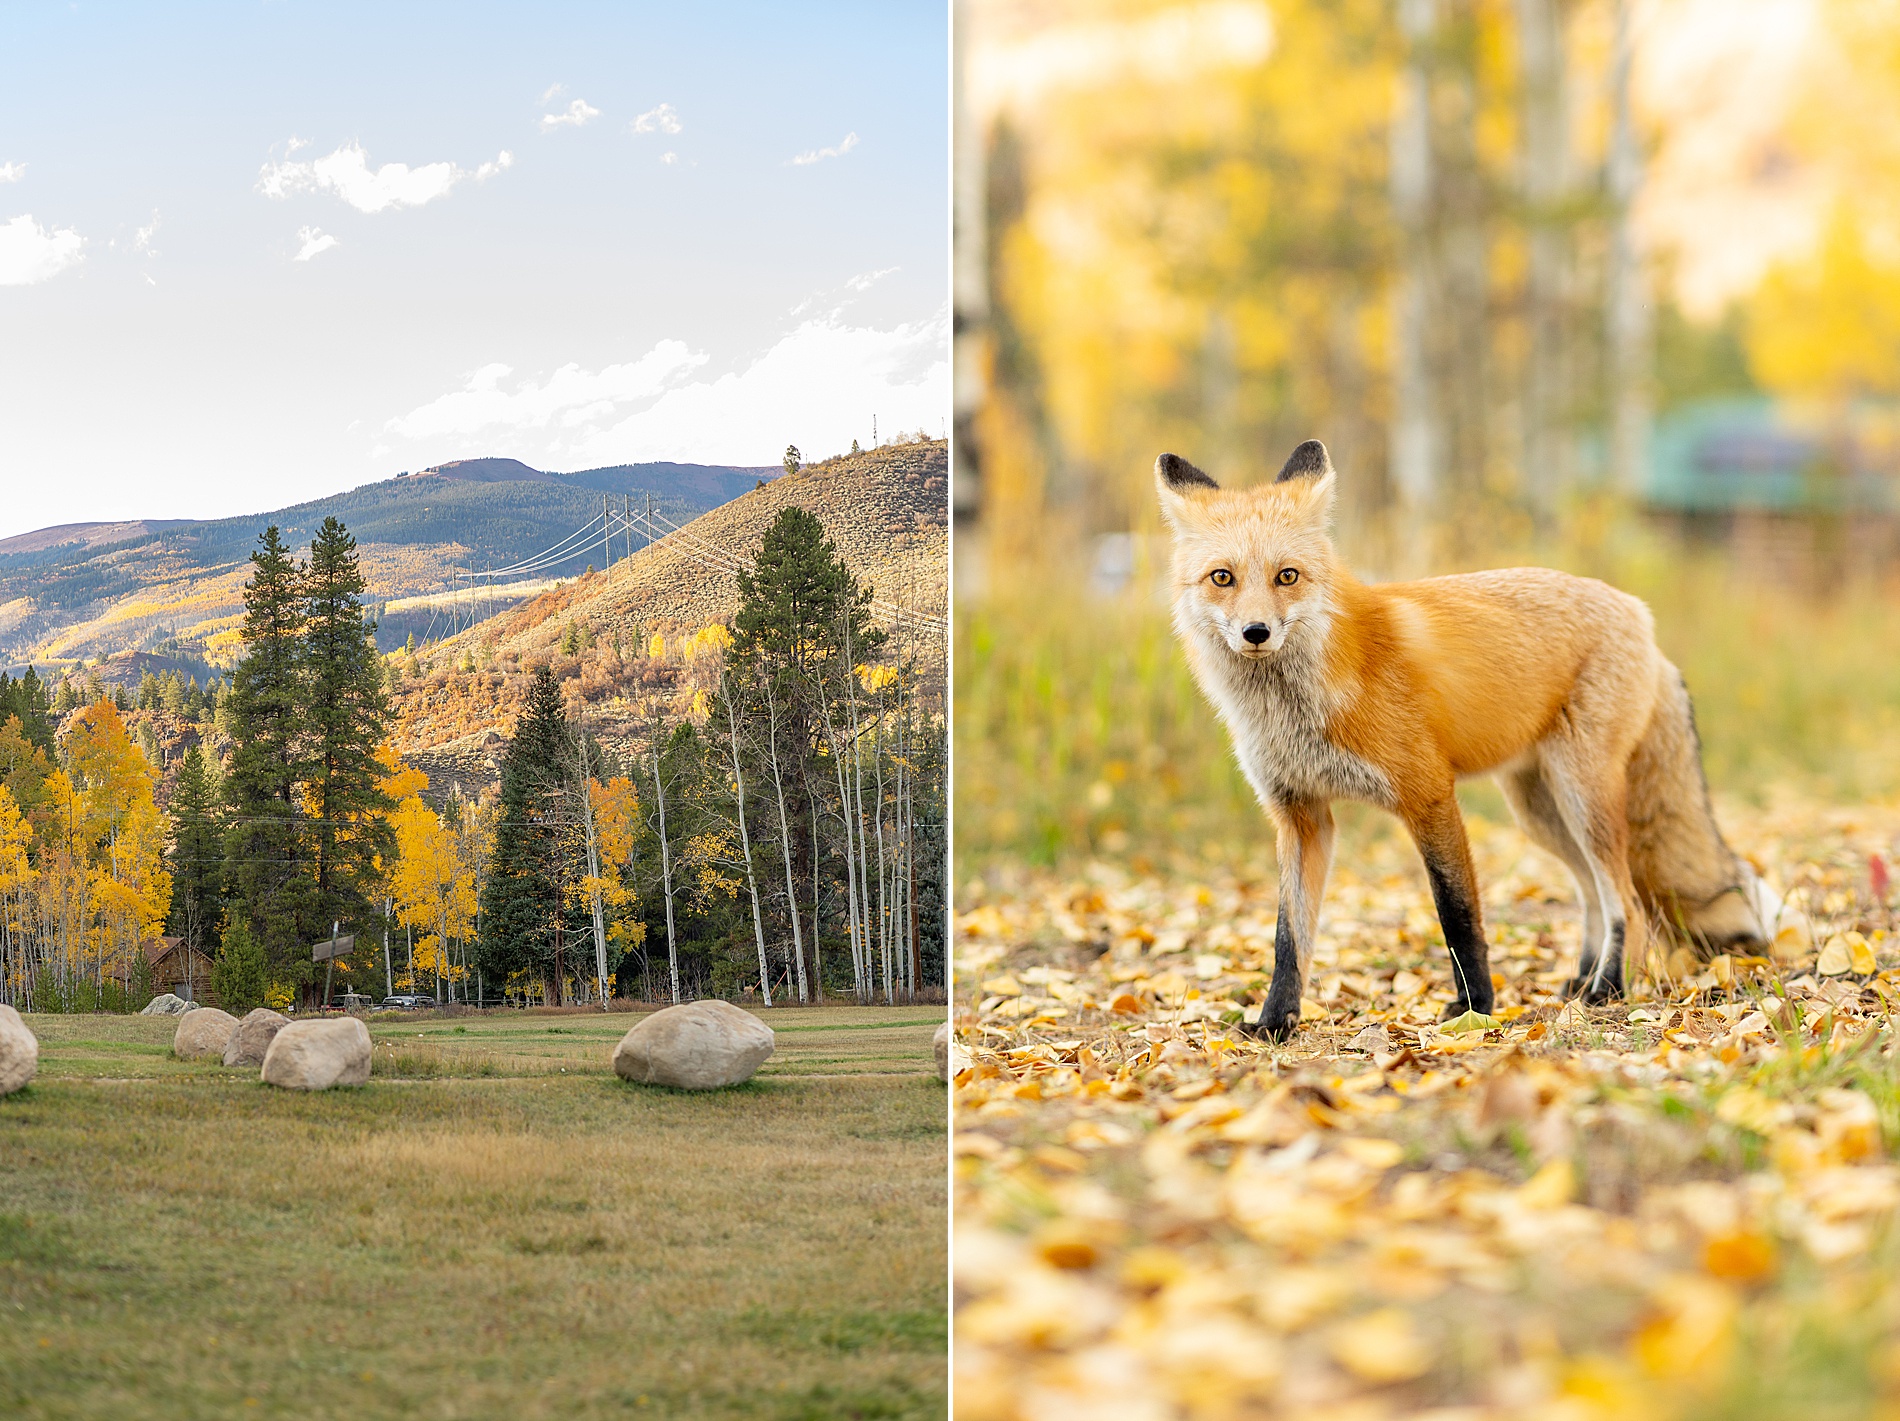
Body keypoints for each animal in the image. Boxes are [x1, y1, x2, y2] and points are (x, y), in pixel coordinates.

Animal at [1156, 438, 1783, 1040]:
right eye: (1222, 577)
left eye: (1286, 576)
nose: (1255, 632)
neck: (1301, 707)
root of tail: (1640, 615)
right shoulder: (1301, 815)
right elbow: (1289, 937)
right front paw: (1275, 1023)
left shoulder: (1429, 794)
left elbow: (1457, 915)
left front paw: (1474, 1010)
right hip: (1541, 811)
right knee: (1591, 891)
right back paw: (1582, 979)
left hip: (1582, 794)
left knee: (1624, 897)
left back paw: (1608, 989)